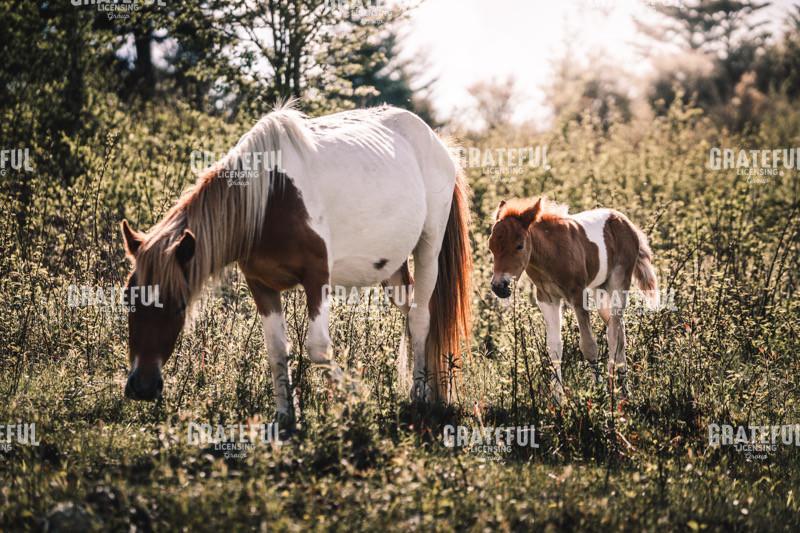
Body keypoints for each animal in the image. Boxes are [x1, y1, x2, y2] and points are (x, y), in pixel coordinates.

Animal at [119, 104, 472, 425]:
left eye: (180, 305)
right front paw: (286, 417)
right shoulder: (261, 285)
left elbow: (317, 349)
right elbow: (277, 349)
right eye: (128, 299)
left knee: (420, 318)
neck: (270, 199)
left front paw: (358, 397)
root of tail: (439, 145)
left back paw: (420, 396)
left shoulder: (317, 278)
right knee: (408, 311)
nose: (142, 386)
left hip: (428, 246)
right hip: (393, 268)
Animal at [488, 197, 658, 401]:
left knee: (614, 334)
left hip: (619, 283)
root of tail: (626, 222)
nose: (499, 286)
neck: (551, 255)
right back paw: (621, 389)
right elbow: (554, 348)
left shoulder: (577, 295)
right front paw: (558, 399)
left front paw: (599, 392)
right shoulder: (547, 298)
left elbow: (589, 346)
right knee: (618, 329)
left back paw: (616, 388)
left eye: (519, 245)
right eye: (491, 247)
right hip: (601, 290)